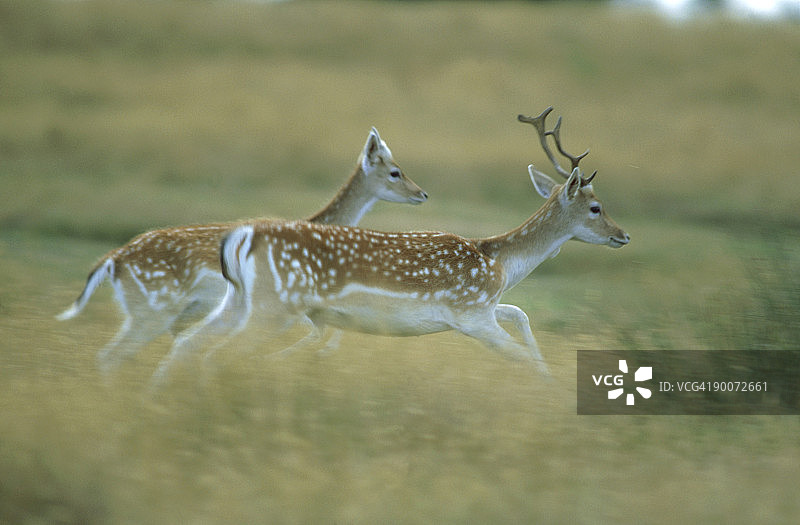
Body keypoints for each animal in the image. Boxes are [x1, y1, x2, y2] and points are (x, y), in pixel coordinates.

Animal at [57, 128, 428, 376]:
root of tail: (111, 262)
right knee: (113, 355)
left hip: (156, 312)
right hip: (153, 310)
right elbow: (325, 333)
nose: (422, 193)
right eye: (394, 172)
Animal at [148, 107, 630, 387]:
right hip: (273, 307)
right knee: (213, 353)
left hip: (238, 301)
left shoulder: (484, 310)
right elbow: (521, 356)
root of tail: (240, 237)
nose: (623, 235)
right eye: (595, 207)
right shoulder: (470, 313)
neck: (498, 265)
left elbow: (522, 317)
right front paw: (552, 394)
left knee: (188, 343)